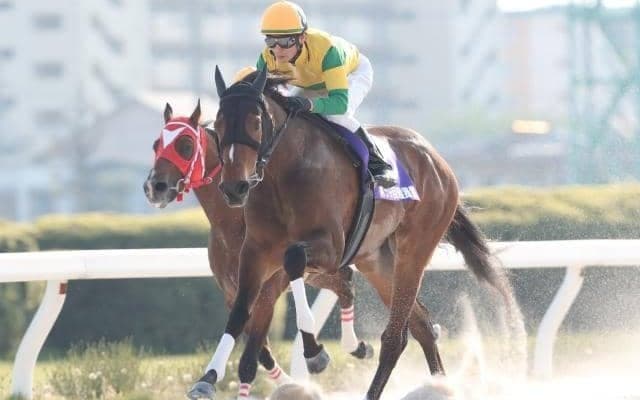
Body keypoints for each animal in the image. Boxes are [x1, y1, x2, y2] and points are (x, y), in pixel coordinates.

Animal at [142, 101, 374, 398]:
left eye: (185, 145)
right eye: (156, 144)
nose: (154, 187)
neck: (232, 225)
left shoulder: (267, 293)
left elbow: (250, 359)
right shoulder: (233, 293)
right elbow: (258, 350)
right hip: (319, 271)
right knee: (345, 282)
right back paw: (356, 346)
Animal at [193, 67, 523, 400]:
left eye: (256, 121)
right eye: (218, 123)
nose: (234, 188)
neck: (284, 174)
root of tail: (437, 159)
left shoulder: (330, 249)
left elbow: (294, 258)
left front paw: (314, 352)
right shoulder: (255, 253)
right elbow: (239, 312)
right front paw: (208, 378)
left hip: (414, 250)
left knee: (395, 336)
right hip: (376, 261)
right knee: (421, 327)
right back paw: (438, 384)